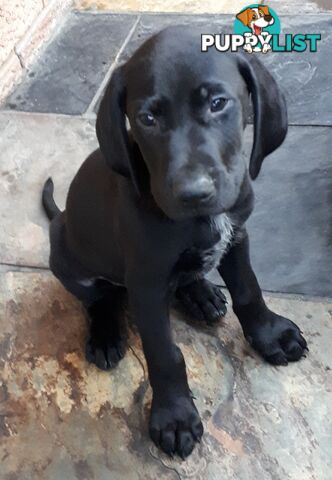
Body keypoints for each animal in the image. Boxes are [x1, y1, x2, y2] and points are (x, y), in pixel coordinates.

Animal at [42, 28, 308, 460]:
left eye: (218, 104)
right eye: (147, 118)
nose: (193, 193)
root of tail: (58, 217)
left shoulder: (237, 236)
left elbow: (249, 290)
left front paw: (270, 335)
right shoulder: (146, 284)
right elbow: (165, 354)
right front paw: (174, 417)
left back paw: (200, 293)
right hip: (66, 256)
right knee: (99, 298)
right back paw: (105, 334)